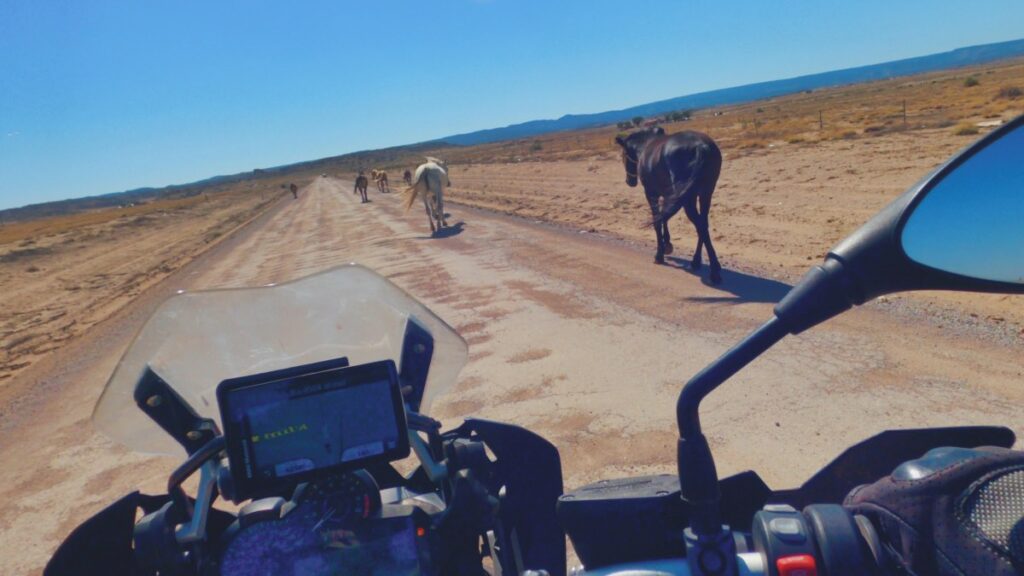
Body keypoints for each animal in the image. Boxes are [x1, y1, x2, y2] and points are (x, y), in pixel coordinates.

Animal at [610, 128, 724, 284]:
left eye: (624, 155)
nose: (630, 181)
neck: (645, 146)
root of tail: (701, 146)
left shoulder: (651, 194)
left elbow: (657, 221)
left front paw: (660, 254)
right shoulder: (668, 195)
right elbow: (664, 218)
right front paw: (667, 245)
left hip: (688, 200)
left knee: (700, 225)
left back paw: (713, 270)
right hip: (705, 194)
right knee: (703, 224)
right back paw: (698, 261)